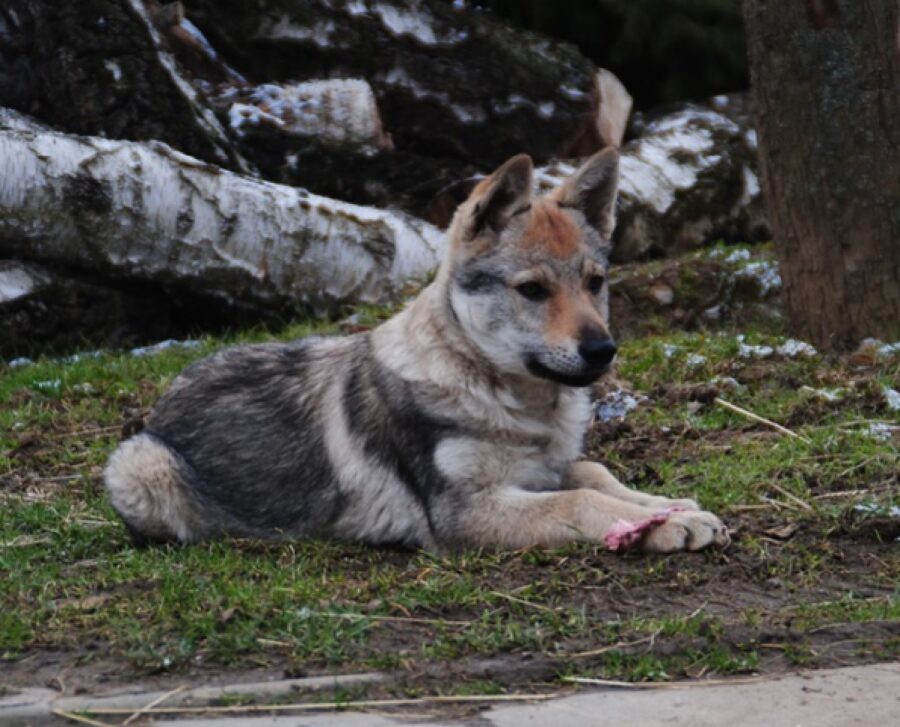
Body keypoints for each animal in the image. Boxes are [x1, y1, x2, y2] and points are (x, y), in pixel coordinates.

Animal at [103, 151, 732, 556]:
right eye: (532, 290)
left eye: (595, 283)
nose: (602, 350)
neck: (513, 403)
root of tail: (167, 397)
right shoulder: (464, 513)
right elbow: (581, 503)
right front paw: (663, 526)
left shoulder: (545, 468)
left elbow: (595, 474)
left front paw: (671, 508)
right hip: (140, 467)